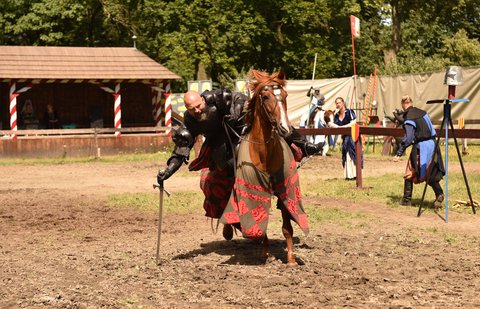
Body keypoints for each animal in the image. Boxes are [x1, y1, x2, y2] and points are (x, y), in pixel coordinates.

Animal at [220, 70, 310, 264]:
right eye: (266, 96)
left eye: (285, 95)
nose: (285, 128)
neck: (264, 153)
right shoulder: (255, 192)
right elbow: (261, 222)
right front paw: (265, 252)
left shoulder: (285, 190)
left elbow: (287, 227)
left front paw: (291, 258)